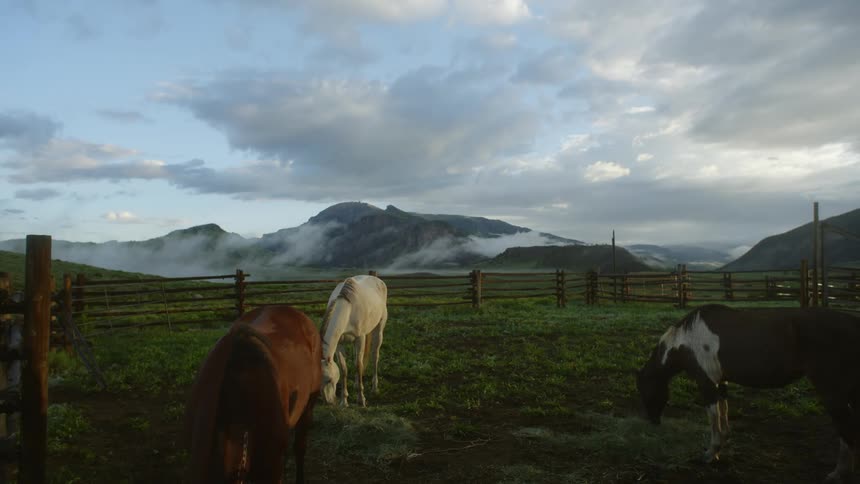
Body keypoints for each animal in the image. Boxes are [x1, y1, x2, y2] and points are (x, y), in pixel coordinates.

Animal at [319, 274, 388, 407]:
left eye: (330, 380)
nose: (328, 402)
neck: (348, 310)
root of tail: (377, 279)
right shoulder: (339, 344)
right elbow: (344, 369)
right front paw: (344, 401)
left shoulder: (359, 339)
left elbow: (358, 365)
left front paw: (361, 400)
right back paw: (357, 383)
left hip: (379, 329)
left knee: (374, 356)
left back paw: (374, 387)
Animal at [636, 304, 860, 483]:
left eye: (644, 391)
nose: (653, 421)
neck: (687, 340)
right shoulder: (721, 382)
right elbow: (724, 412)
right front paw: (721, 445)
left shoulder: (706, 384)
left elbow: (714, 419)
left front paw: (710, 454)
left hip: (833, 393)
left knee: (846, 429)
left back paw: (838, 473)